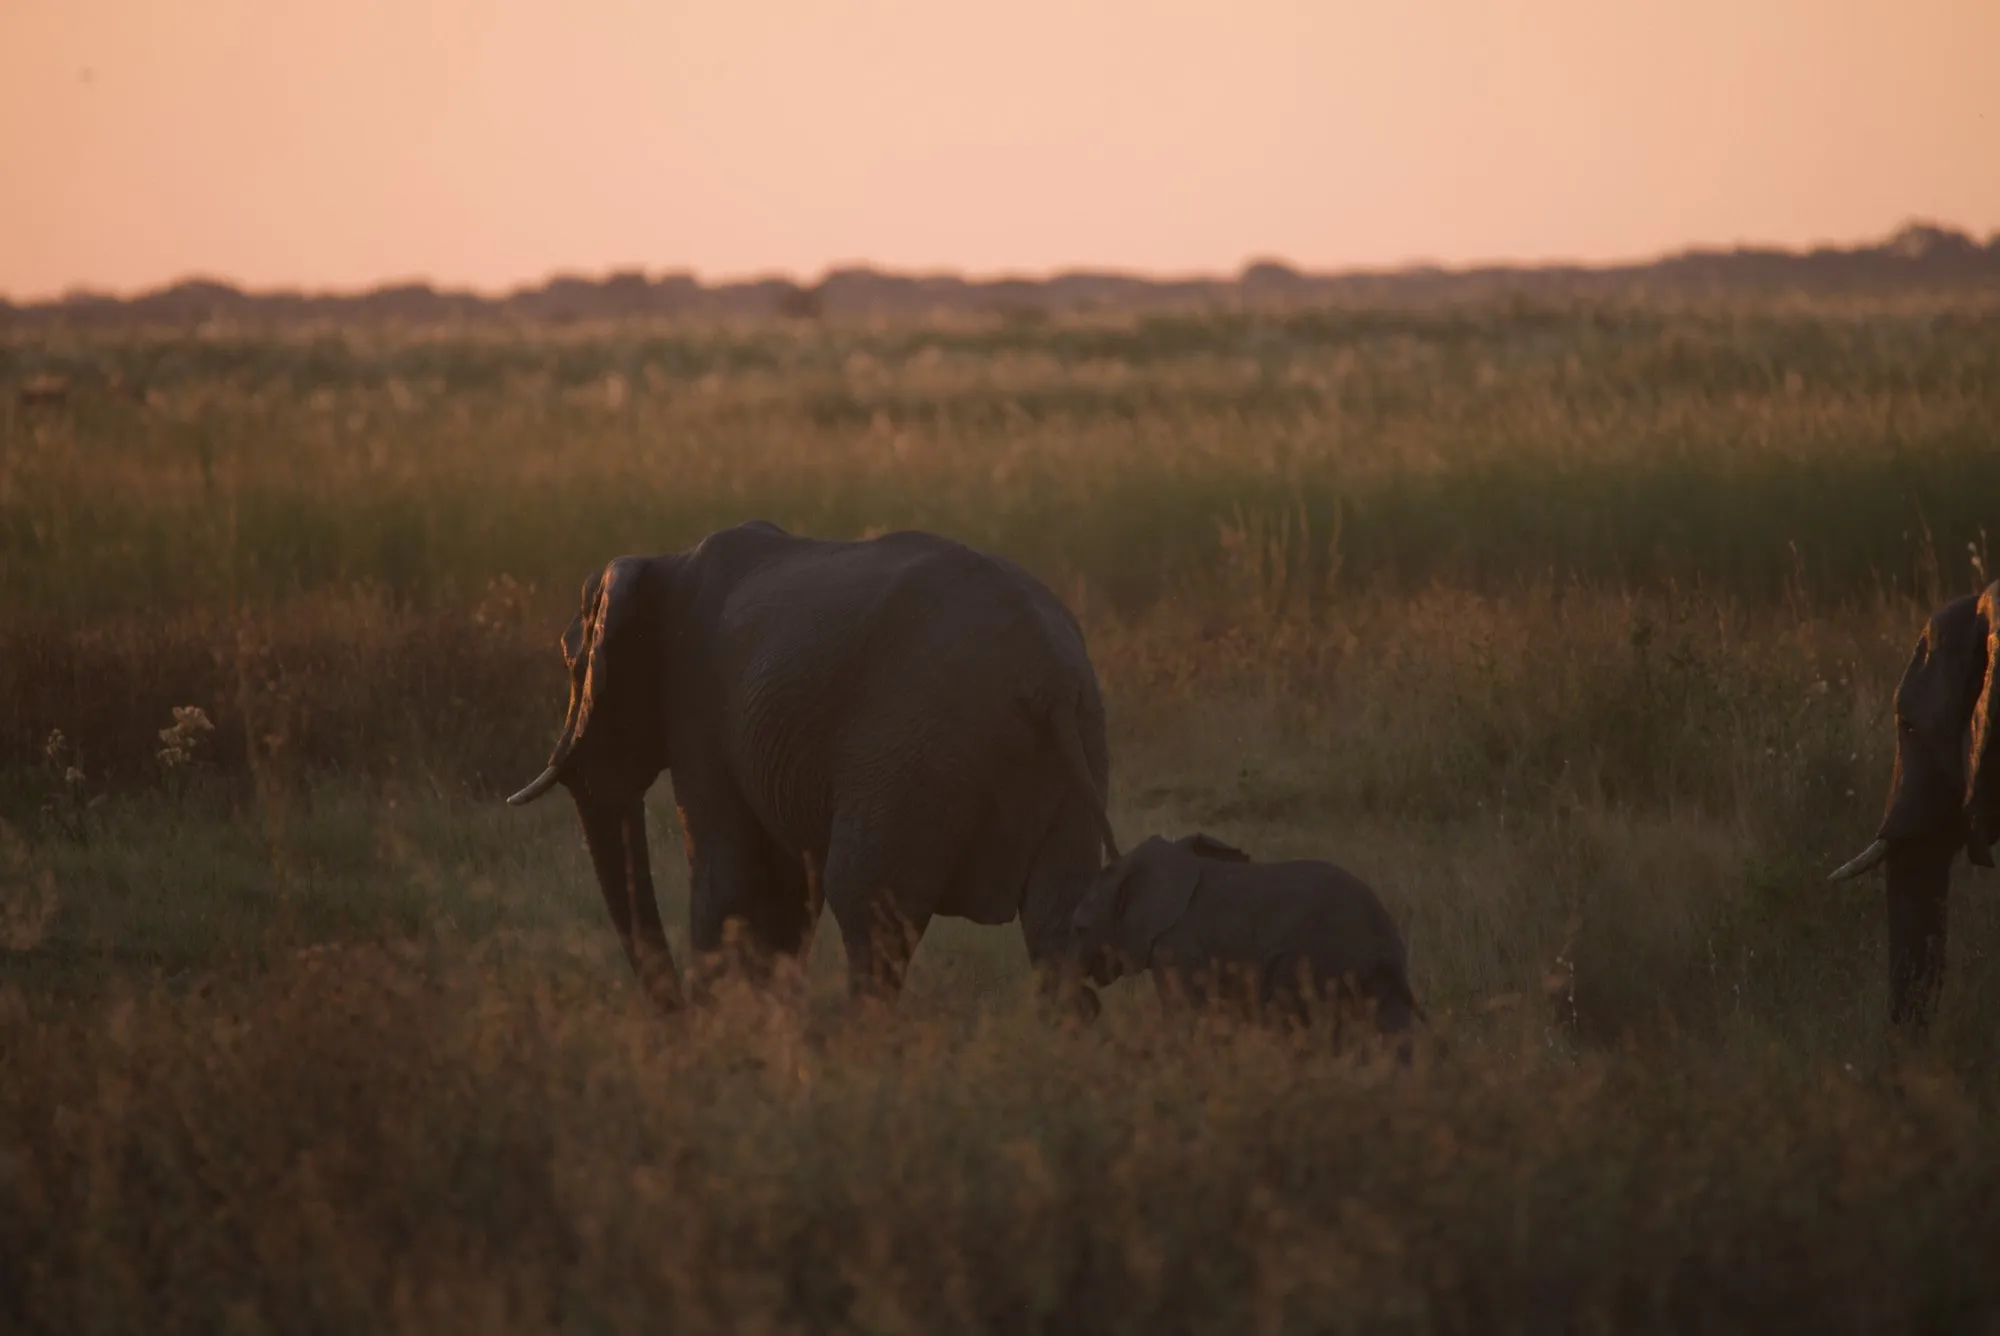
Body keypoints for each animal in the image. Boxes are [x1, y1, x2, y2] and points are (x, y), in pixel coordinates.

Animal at [506, 520, 1121, 1015]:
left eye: (572, 665)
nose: (672, 1017)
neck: (662, 563)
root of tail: (1047, 679)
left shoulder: (698, 704)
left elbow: (725, 872)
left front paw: (715, 1032)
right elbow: (783, 889)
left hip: (913, 757)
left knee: (867, 907)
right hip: (1074, 752)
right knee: (1056, 925)